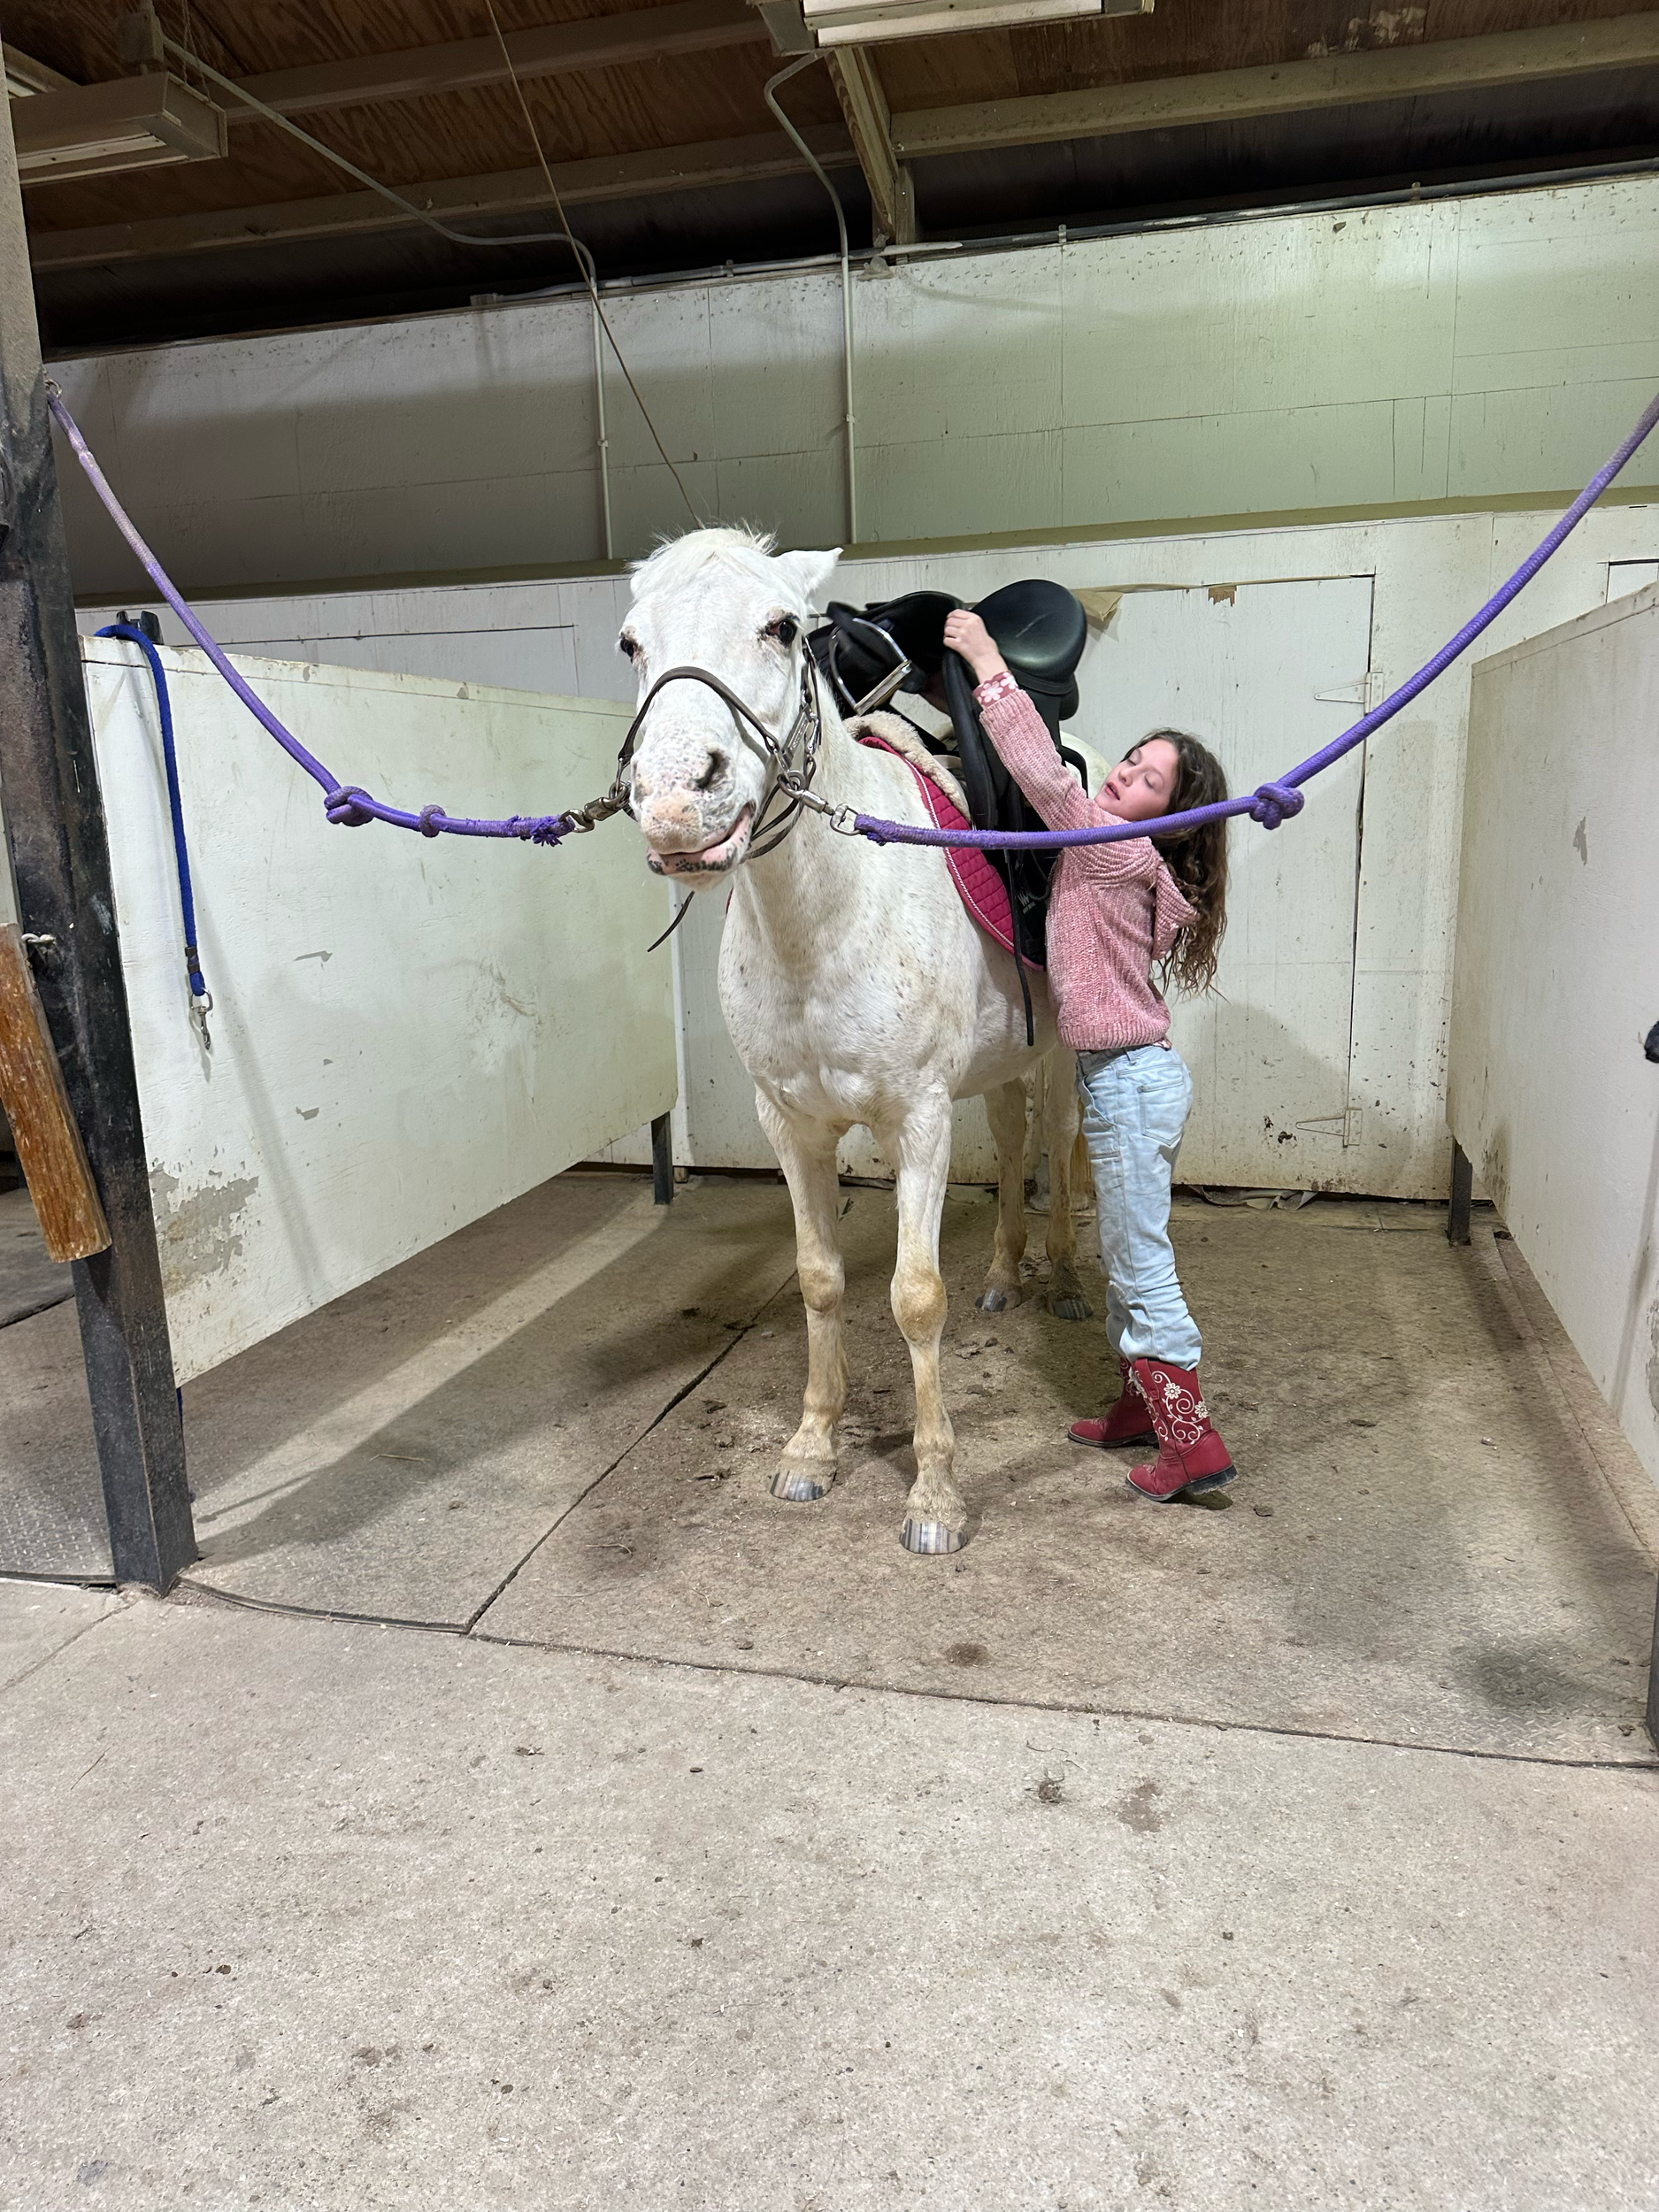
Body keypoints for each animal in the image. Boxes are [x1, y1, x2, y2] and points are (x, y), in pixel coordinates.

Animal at [619, 528, 1090, 1554]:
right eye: (631, 642)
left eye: (782, 626)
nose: (674, 803)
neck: (827, 920)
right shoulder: (790, 1125)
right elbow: (820, 1280)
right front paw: (811, 1447)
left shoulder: (918, 1120)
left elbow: (915, 1298)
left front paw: (935, 1496)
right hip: (1003, 1062)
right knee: (1012, 1139)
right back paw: (1005, 1275)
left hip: (1065, 1057)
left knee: (1062, 1143)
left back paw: (1070, 1282)